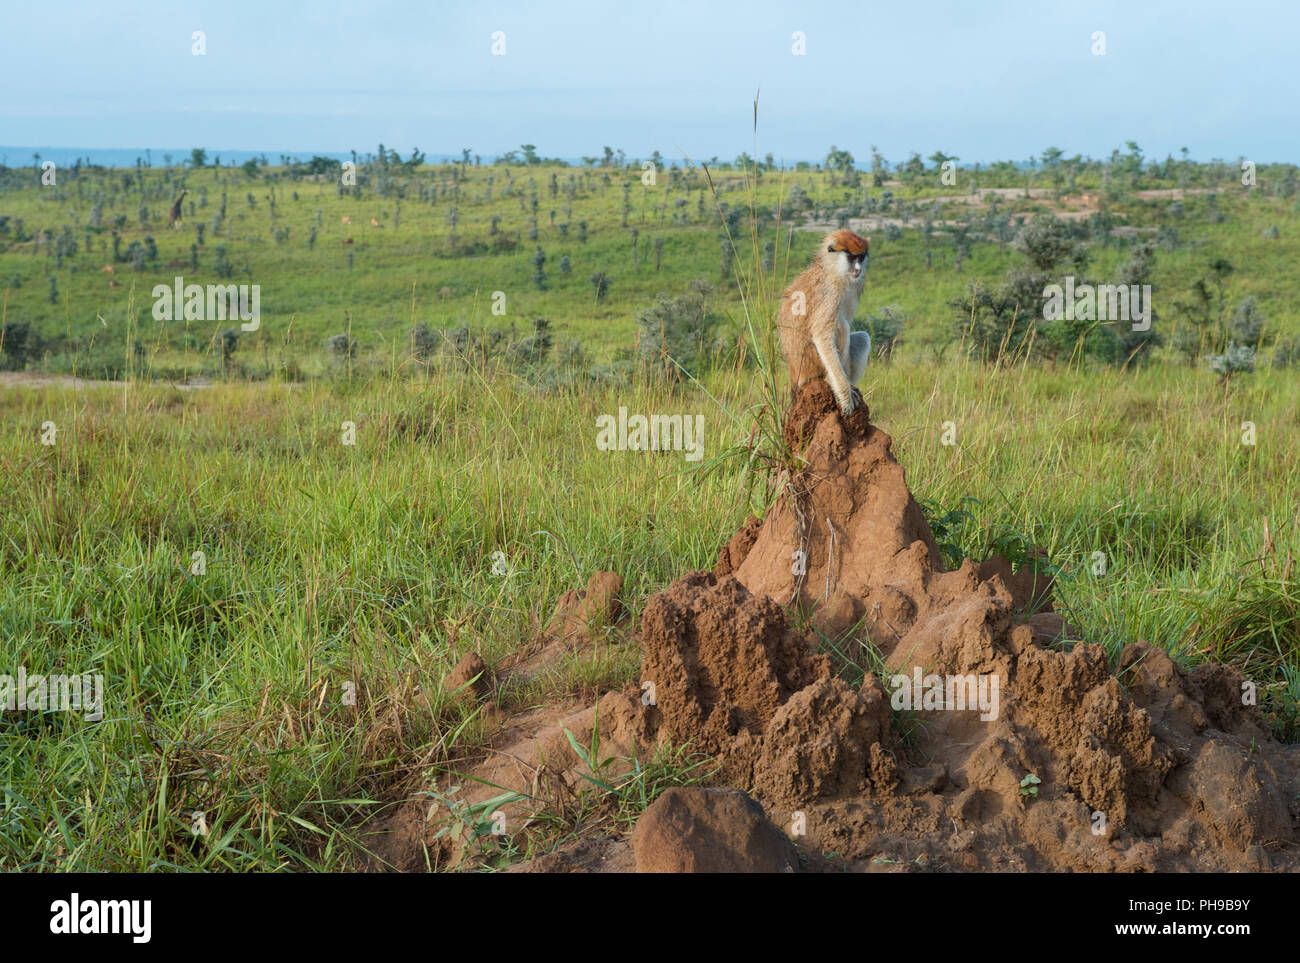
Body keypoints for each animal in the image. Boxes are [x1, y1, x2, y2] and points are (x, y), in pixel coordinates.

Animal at [776, 229, 872, 417]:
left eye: (860, 257)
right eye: (851, 258)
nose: (858, 269)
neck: (832, 268)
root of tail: (795, 372)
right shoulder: (831, 291)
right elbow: (822, 335)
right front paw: (845, 396)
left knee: (862, 338)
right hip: (812, 363)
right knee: (842, 325)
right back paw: (833, 380)